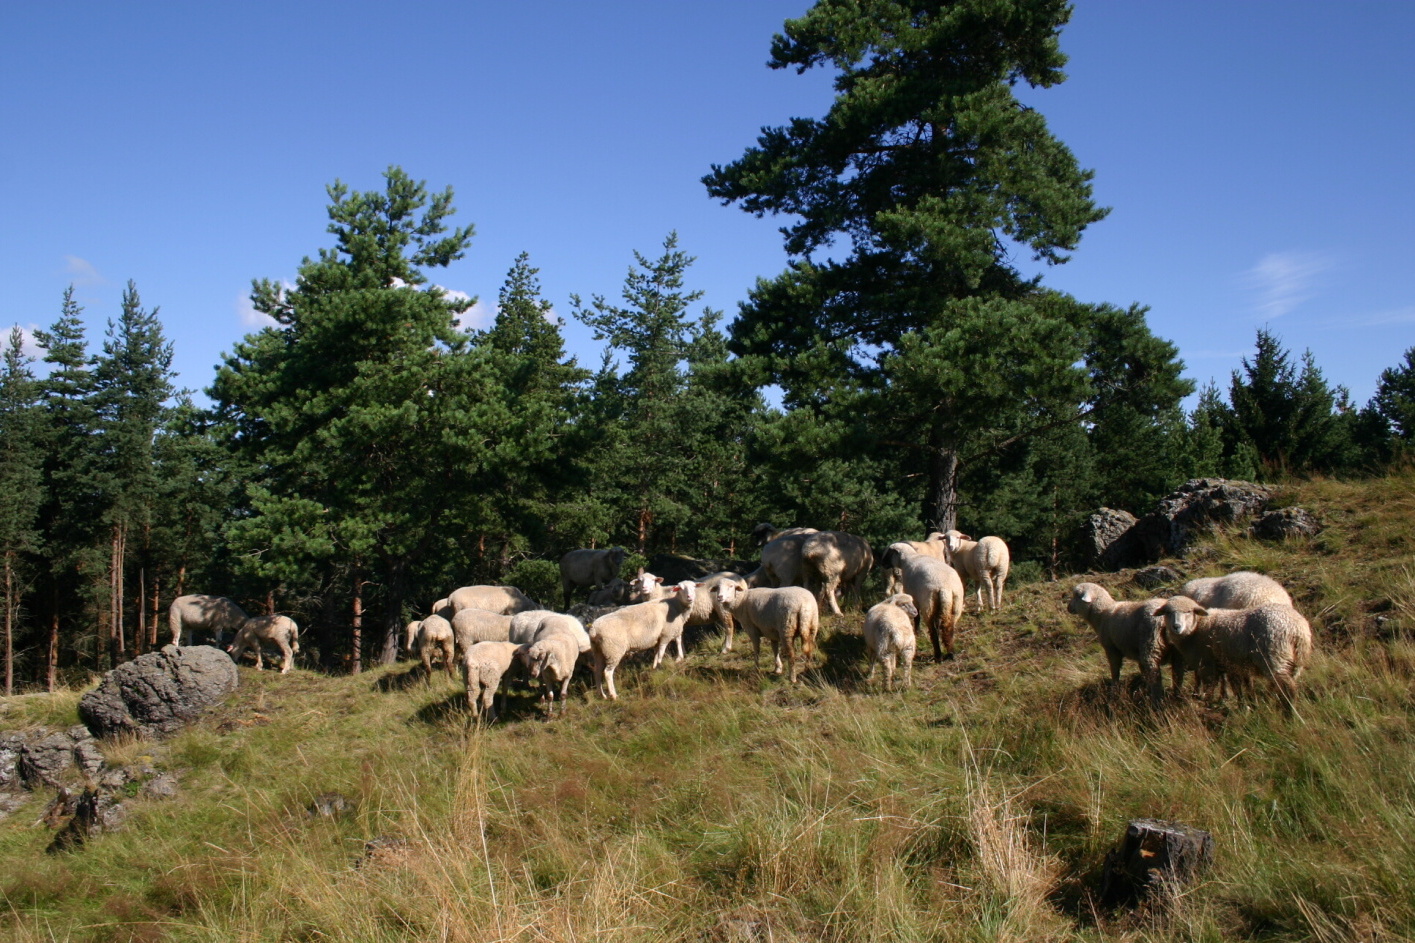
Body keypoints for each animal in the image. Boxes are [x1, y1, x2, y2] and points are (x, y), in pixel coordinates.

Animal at [1154, 594, 1307, 713]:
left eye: (1188, 611)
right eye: (1167, 612)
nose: (1176, 626)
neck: (1195, 629)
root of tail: (1297, 629)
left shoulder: (1208, 663)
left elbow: (1211, 685)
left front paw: (1207, 703)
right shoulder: (1234, 664)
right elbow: (1241, 686)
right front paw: (1247, 705)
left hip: (1273, 657)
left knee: (1288, 688)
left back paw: (1289, 715)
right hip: (1294, 661)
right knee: (1283, 685)